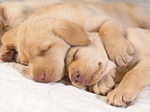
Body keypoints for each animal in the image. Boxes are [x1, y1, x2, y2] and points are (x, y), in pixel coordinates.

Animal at [1, 1, 150, 82]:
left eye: (45, 50)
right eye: (26, 63)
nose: (37, 78)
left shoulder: (108, 20)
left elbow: (108, 29)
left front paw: (119, 51)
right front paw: (8, 52)